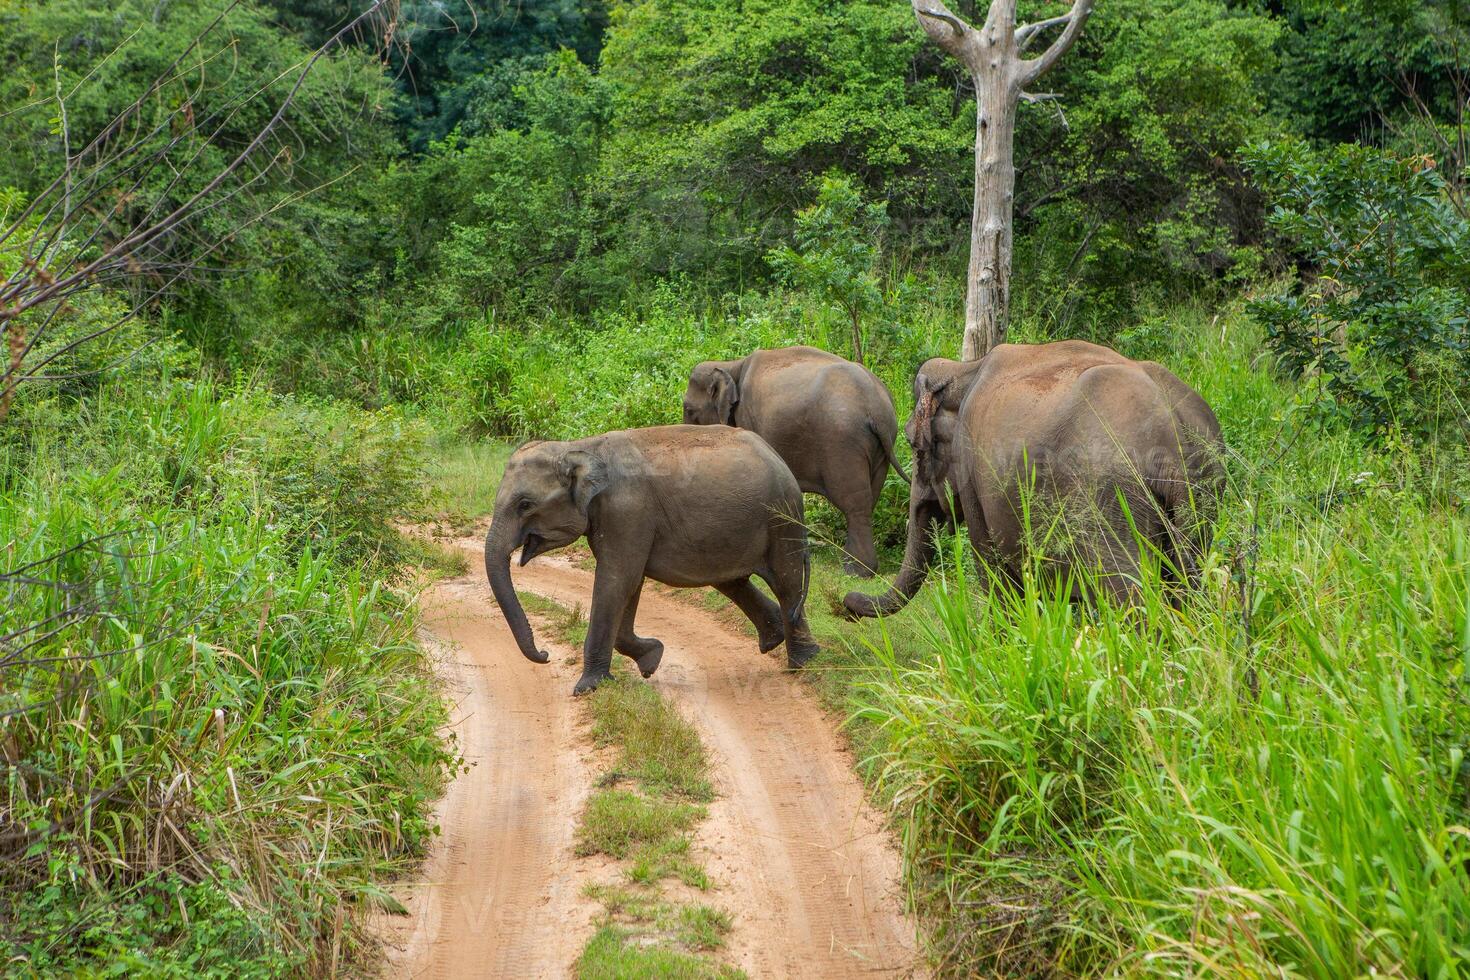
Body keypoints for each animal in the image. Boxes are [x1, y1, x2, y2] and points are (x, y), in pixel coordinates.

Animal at [488, 426, 823, 693]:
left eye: (525, 504)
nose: (545, 655)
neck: (581, 447)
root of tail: (777, 455)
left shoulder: (626, 512)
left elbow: (616, 580)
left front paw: (587, 689)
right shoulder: (620, 520)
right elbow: (629, 582)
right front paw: (651, 660)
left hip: (782, 518)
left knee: (786, 581)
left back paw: (803, 662)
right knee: (731, 580)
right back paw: (775, 640)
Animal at [685, 345, 905, 578]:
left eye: (688, 410)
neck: (732, 364)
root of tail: (877, 408)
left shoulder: (748, 415)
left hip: (844, 442)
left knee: (855, 503)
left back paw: (856, 570)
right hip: (881, 447)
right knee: (870, 497)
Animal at [846, 337, 1223, 614]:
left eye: (914, 444)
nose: (846, 602)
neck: (965, 369)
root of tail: (1171, 432)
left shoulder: (973, 472)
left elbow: (993, 569)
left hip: (1110, 503)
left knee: (1129, 595)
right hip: (1200, 499)